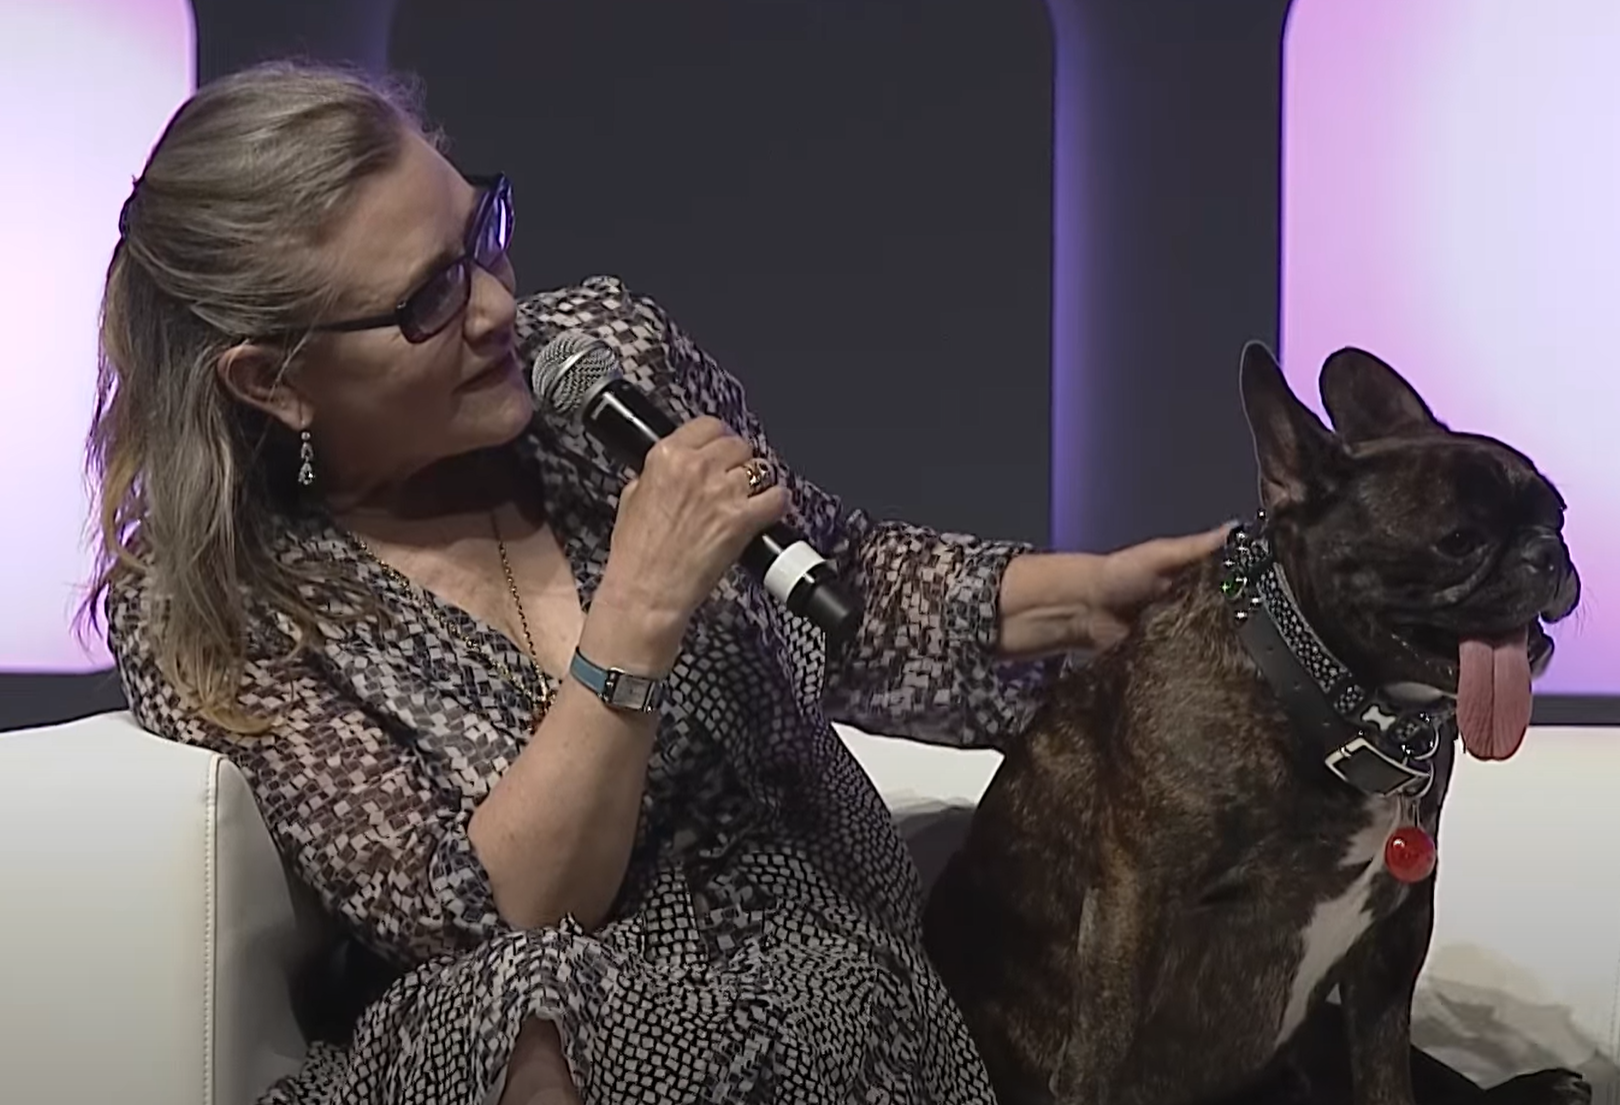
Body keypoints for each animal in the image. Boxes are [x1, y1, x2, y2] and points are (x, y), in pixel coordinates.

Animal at [933, 343, 1587, 1101]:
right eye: (1459, 540)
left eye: (1558, 514)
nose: (1549, 552)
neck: (1337, 704)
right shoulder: (1131, 906)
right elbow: (1098, 1050)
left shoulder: (1396, 936)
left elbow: (1389, 1071)